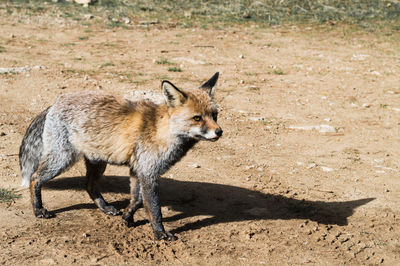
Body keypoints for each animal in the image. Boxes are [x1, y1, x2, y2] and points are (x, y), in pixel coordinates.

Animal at [18, 71, 222, 240]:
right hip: (62, 159)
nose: (219, 132)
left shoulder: (138, 170)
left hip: (97, 162)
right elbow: (154, 208)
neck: (162, 131)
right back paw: (38, 210)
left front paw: (127, 218)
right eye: (197, 118)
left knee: (88, 185)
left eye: (215, 115)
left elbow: (137, 200)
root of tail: (56, 102)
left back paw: (105, 207)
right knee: (35, 178)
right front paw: (160, 233)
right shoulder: (148, 173)